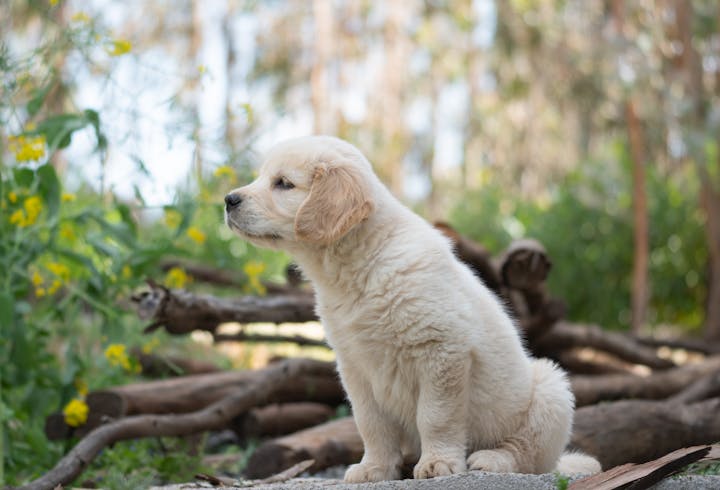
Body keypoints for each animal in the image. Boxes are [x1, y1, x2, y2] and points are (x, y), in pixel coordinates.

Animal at [225, 136, 600, 480]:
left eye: (283, 183)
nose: (228, 200)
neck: (360, 266)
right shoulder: (355, 366)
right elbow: (370, 422)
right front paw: (375, 468)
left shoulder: (441, 350)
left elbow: (435, 416)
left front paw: (437, 463)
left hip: (551, 388)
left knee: (527, 455)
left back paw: (491, 459)